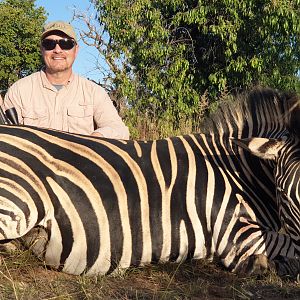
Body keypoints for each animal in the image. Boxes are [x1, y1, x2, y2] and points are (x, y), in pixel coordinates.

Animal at [0, 85, 300, 278]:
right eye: (283, 193)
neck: (234, 171)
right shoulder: (233, 232)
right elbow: (290, 249)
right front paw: (264, 265)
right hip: (18, 200)